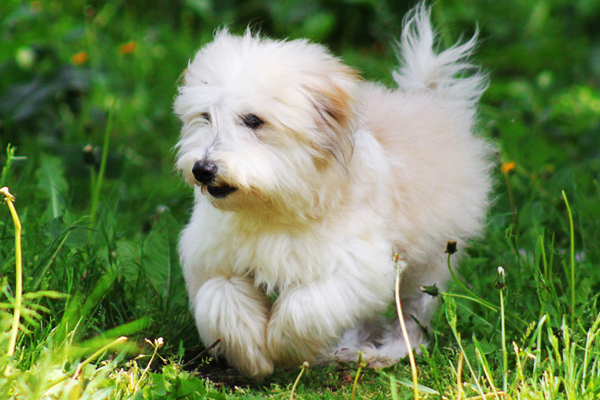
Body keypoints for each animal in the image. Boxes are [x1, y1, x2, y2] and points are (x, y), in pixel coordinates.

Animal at [172, 3, 492, 378]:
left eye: (253, 120)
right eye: (205, 116)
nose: (202, 169)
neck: (271, 205)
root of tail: (427, 100)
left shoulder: (353, 268)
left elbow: (305, 306)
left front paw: (284, 347)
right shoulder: (213, 259)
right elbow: (221, 297)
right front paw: (252, 353)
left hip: (429, 261)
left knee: (413, 313)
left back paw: (390, 351)